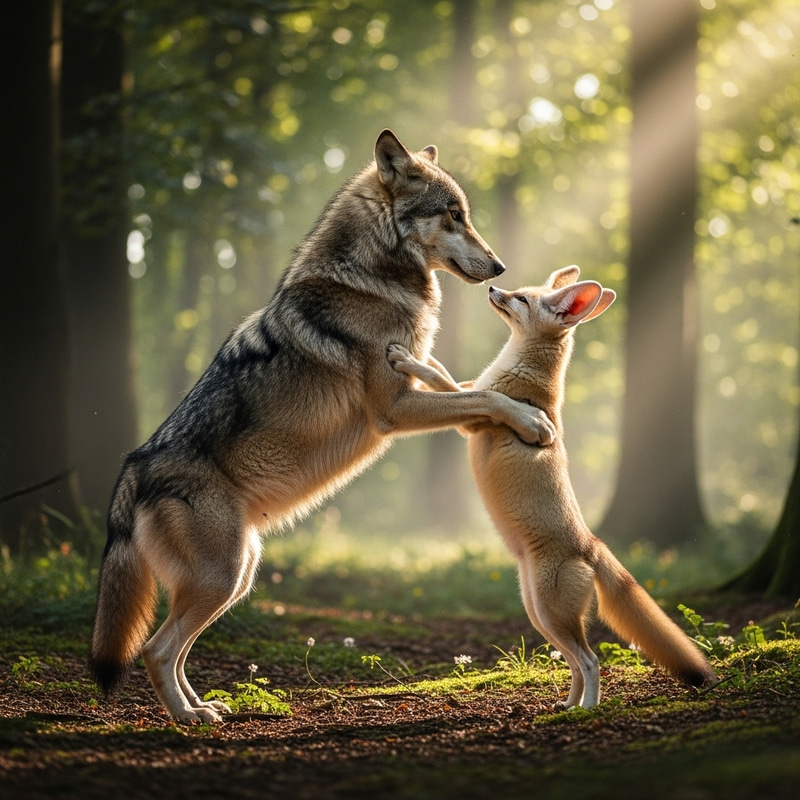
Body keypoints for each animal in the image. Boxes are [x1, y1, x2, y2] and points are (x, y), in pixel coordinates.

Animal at [89, 129, 557, 723]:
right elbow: (484, 393)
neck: (372, 279)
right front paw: (533, 421)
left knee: (174, 650)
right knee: (155, 649)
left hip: (237, 577)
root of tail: (134, 465)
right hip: (222, 578)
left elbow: (471, 389)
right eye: (453, 215)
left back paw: (205, 707)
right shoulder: (395, 409)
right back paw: (189, 718)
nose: (499, 268)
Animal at [388, 265, 716, 708]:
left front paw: (407, 359)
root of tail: (591, 544)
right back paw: (567, 705)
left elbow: (441, 379)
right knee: (575, 663)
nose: (494, 287)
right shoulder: (472, 390)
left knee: (591, 660)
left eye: (522, 299)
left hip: (552, 614)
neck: (522, 373)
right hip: (540, 617)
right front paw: (417, 353)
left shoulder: (474, 415)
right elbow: (445, 372)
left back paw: (588, 709)